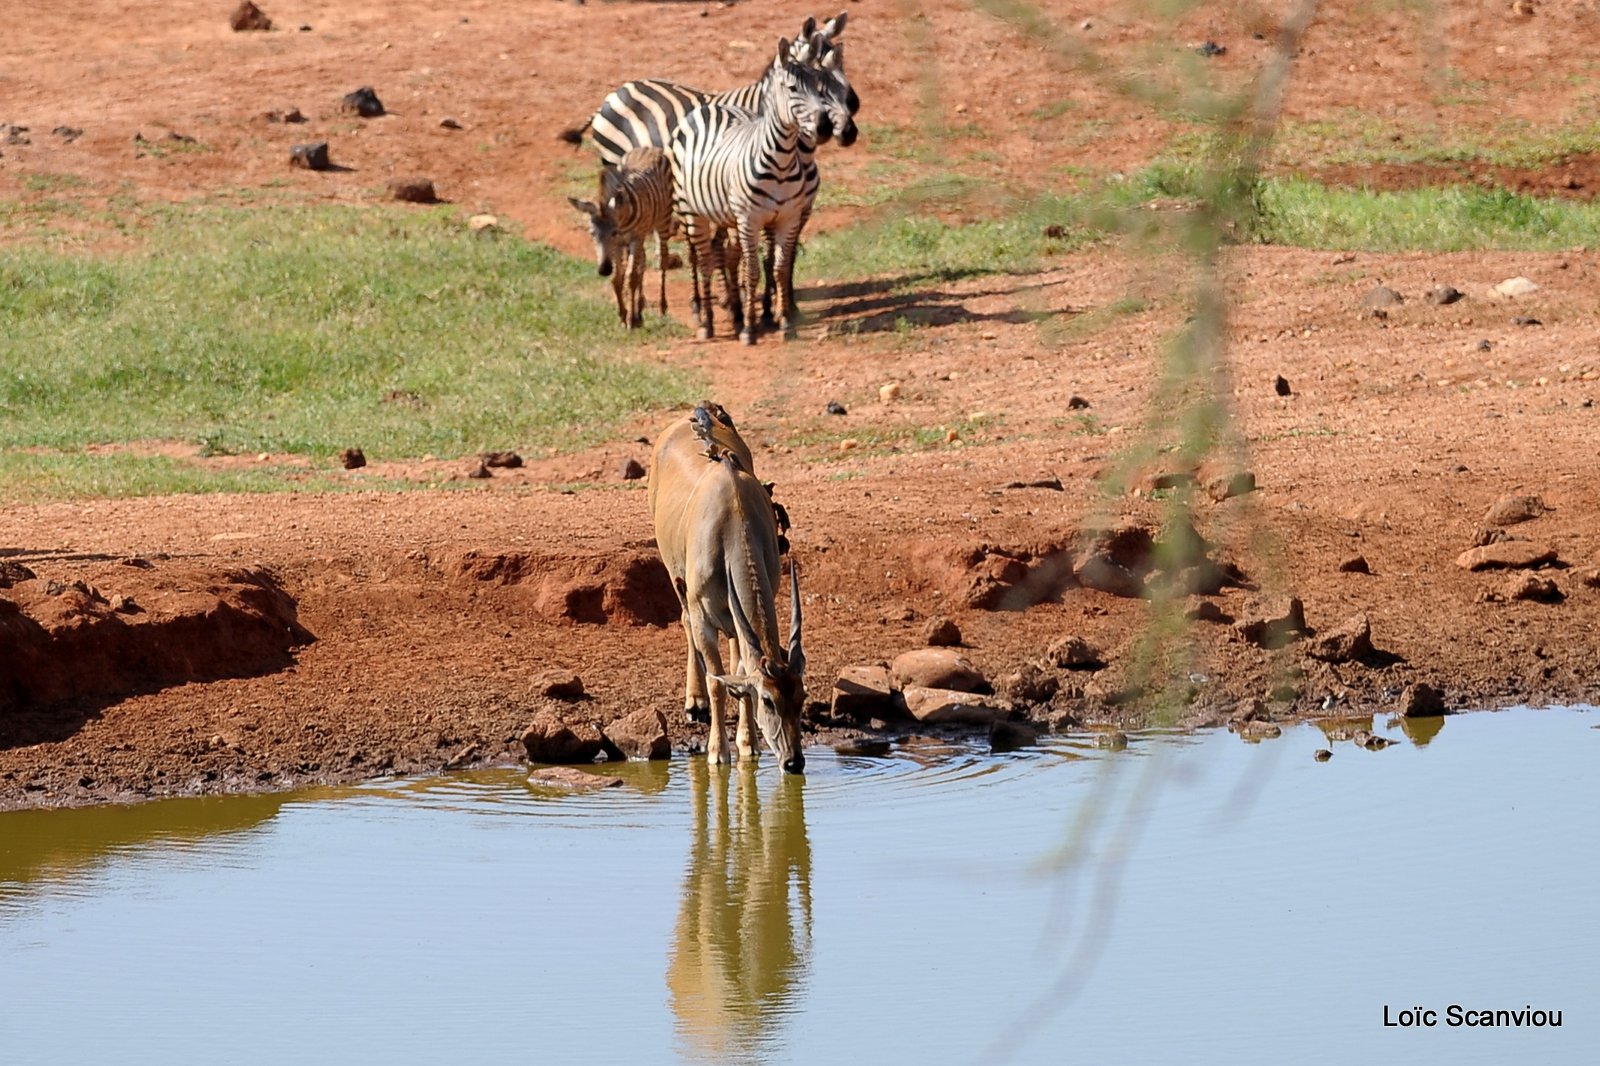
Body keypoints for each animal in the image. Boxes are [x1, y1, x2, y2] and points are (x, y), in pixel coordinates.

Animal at [566, 144, 672, 328]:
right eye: (591, 233)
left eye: (613, 232)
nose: (603, 270)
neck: (622, 219)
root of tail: (649, 147)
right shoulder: (620, 244)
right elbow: (617, 278)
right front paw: (624, 315)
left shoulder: (633, 238)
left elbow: (631, 277)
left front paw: (631, 320)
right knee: (643, 262)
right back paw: (639, 308)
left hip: (663, 220)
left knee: (662, 260)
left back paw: (661, 307)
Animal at [668, 35, 832, 344]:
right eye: (792, 88)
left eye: (819, 89)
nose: (825, 126)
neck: (782, 162)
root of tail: (710, 106)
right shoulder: (749, 220)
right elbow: (753, 270)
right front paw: (749, 329)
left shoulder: (788, 218)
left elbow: (779, 268)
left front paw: (784, 323)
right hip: (692, 211)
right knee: (704, 261)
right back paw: (706, 322)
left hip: (723, 214)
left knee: (722, 253)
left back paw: (733, 312)